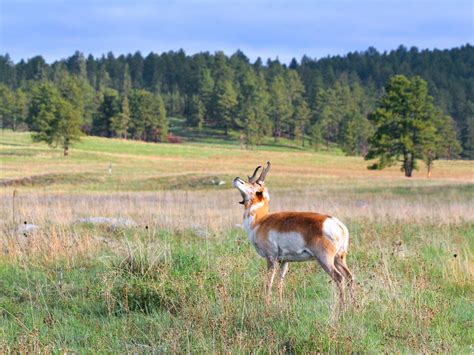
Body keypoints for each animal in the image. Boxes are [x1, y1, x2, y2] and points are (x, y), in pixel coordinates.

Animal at [234, 163, 356, 306]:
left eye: (254, 187)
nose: (237, 178)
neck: (261, 220)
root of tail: (337, 224)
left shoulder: (271, 258)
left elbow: (269, 282)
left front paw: (267, 304)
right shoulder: (284, 261)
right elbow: (280, 283)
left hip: (325, 259)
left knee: (339, 278)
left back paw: (342, 308)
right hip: (339, 258)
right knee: (350, 276)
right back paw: (354, 307)